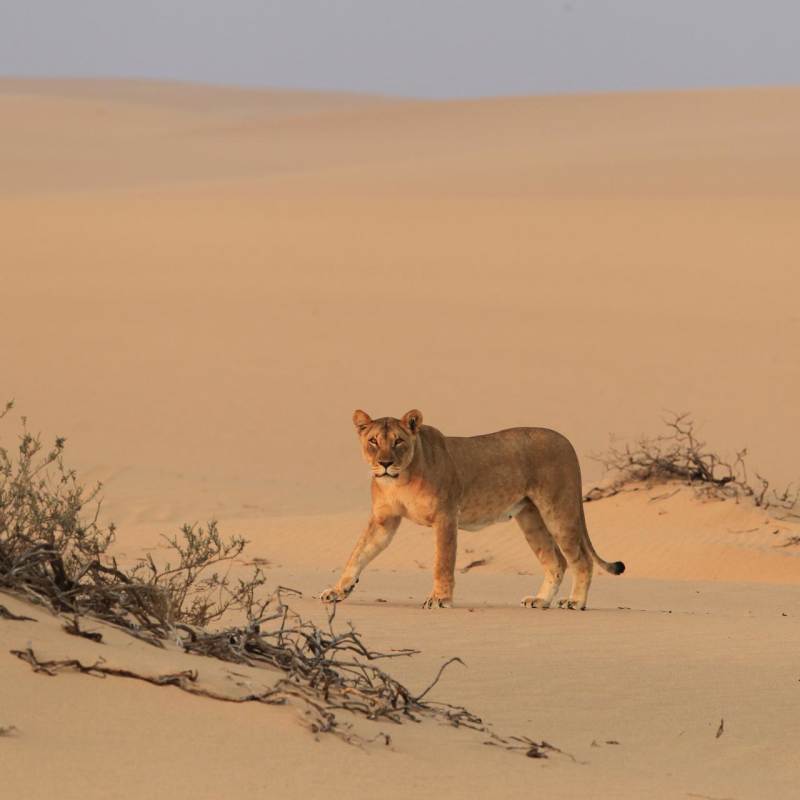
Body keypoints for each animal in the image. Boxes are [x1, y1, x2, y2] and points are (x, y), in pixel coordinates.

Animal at [320, 410, 625, 610]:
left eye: (398, 441)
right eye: (373, 441)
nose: (384, 463)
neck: (399, 480)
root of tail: (566, 441)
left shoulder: (446, 517)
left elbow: (443, 562)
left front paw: (440, 599)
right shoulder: (384, 520)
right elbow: (358, 553)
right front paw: (337, 590)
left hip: (558, 511)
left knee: (581, 560)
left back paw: (575, 602)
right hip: (530, 518)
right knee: (556, 561)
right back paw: (540, 601)